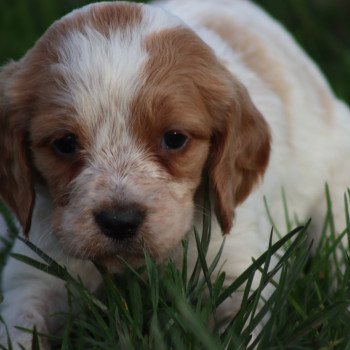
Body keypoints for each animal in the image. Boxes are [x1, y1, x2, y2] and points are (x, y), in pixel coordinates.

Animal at [0, 0, 348, 348]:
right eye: (65, 143)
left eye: (174, 139)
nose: (119, 221)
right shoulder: (34, 270)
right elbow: (20, 323)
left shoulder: (239, 262)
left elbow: (242, 324)